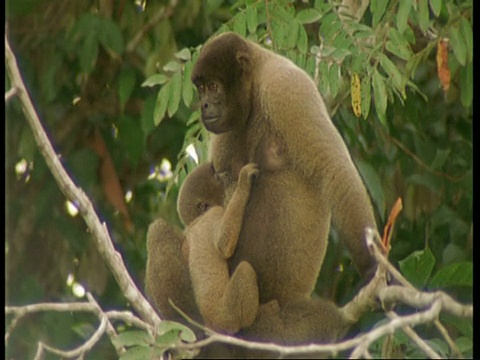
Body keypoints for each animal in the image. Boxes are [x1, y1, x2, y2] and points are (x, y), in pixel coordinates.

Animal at [176, 162, 258, 334]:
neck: (197, 220)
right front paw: (244, 183)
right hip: (226, 315)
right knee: (245, 268)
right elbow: (223, 245)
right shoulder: (214, 213)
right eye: (216, 177)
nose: (225, 175)